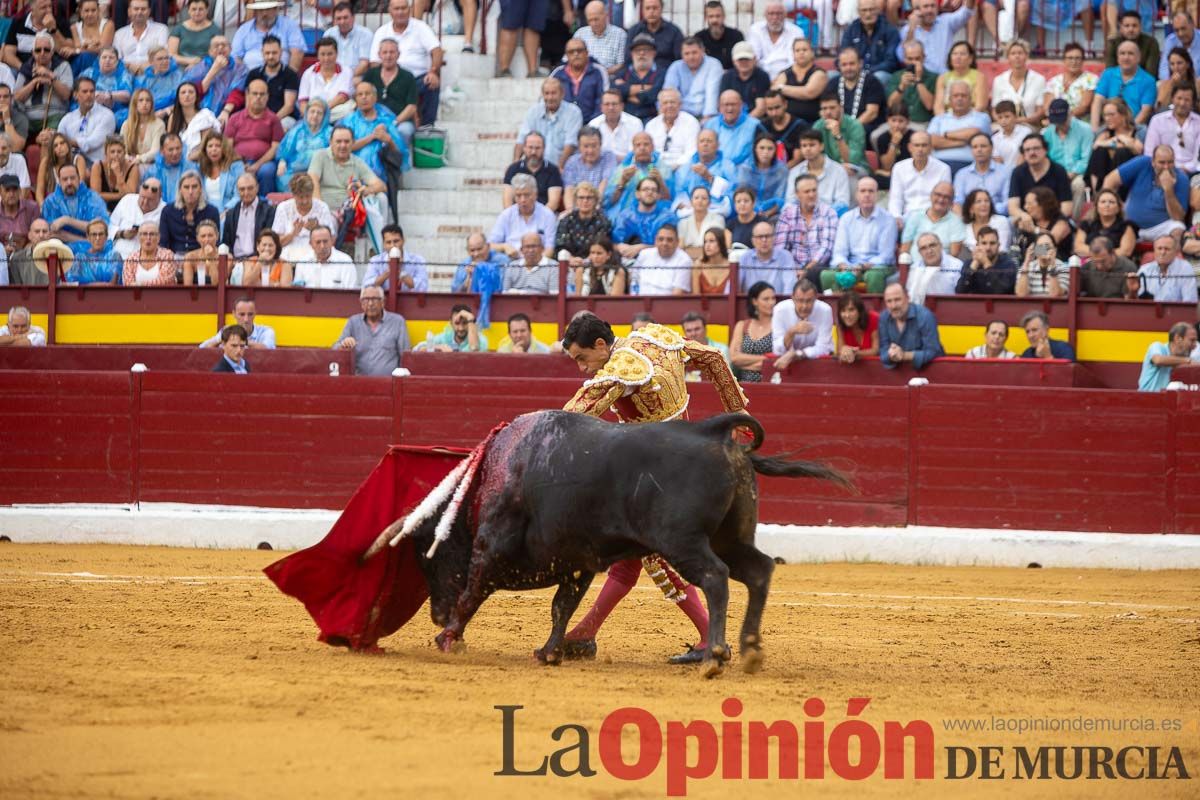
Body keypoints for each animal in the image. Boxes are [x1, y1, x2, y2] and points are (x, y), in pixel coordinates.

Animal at [369, 410, 849, 681]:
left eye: (424, 557)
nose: (436, 613)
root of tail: (712, 433)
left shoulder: (492, 547)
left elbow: (473, 592)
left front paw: (448, 636)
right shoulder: (578, 562)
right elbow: (562, 606)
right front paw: (550, 652)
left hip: (683, 541)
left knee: (715, 577)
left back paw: (713, 656)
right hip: (730, 537)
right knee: (758, 571)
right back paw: (748, 649)